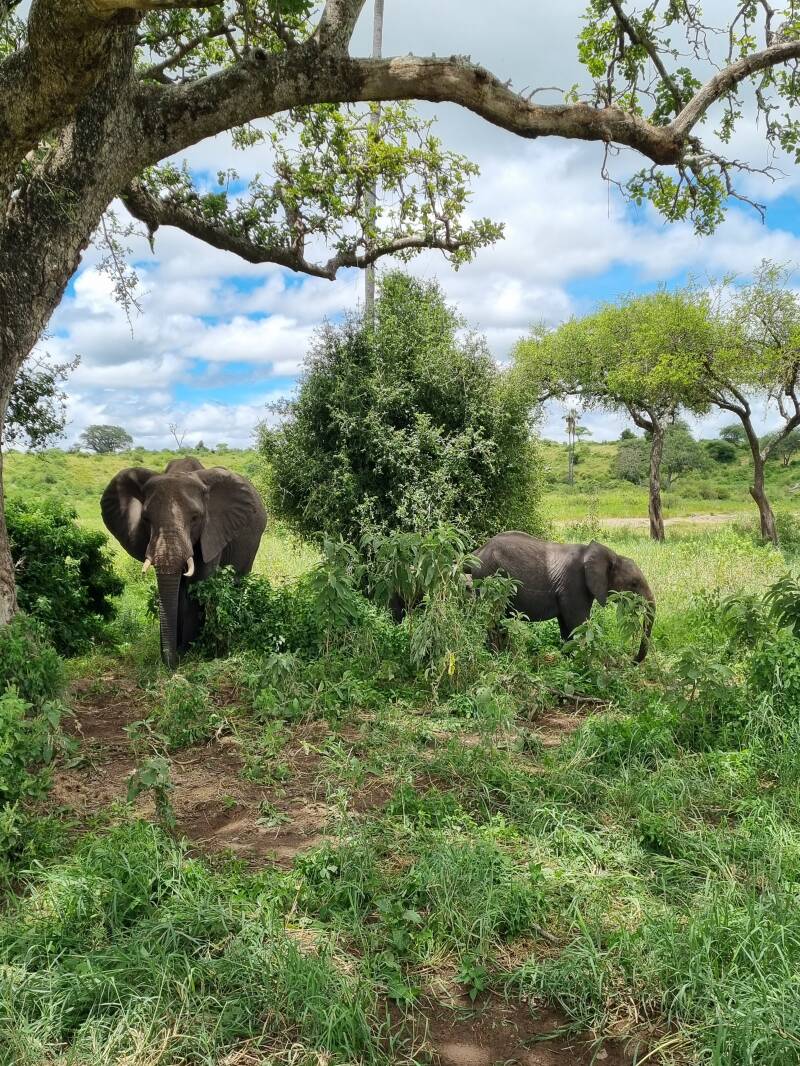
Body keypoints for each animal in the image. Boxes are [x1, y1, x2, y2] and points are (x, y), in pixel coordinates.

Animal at [101, 458, 267, 668]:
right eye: (145, 519)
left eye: (195, 518)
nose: (170, 662)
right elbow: (176, 590)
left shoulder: (212, 533)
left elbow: (197, 584)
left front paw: (191, 652)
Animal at [470, 531, 656, 662]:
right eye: (633, 584)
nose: (632, 660)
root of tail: (476, 553)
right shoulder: (574, 584)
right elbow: (579, 624)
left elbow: (568, 627)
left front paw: (569, 662)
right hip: (488, 579)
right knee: (493, 619)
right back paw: (496, 656)